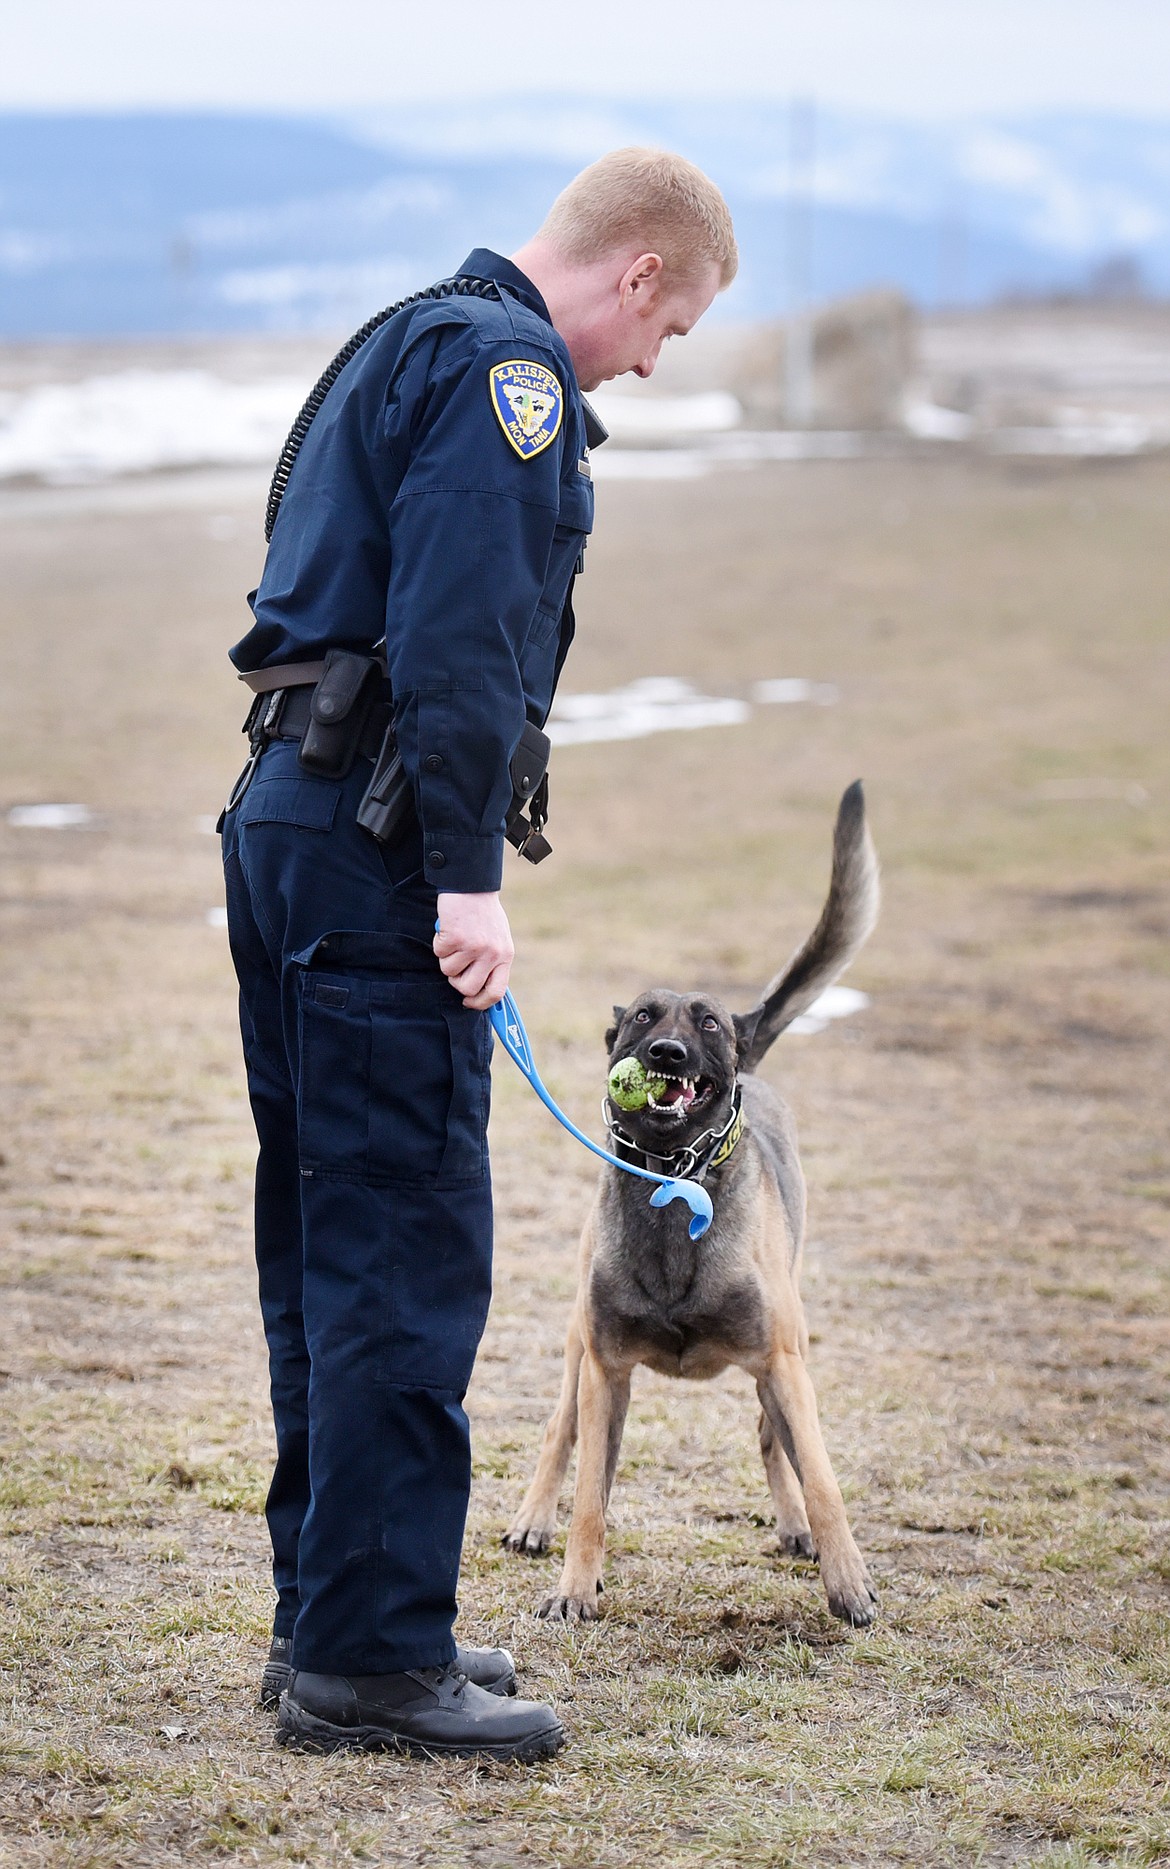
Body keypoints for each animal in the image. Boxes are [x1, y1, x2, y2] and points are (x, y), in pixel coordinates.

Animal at [500, 781, 874, 1629]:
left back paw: (796, 1527)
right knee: (562, 1432)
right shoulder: (606, 1367)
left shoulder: (784, 1363)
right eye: (643, 1016)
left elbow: (825, 1479)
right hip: (579, 1351)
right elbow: (590, 1497)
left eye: (704, 1021)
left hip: (784, 1356)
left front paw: (848, 1580)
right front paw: (575, 1586)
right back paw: (535, 1519)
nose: (665, 1054)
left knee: (771, 1435)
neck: (676, 1184)